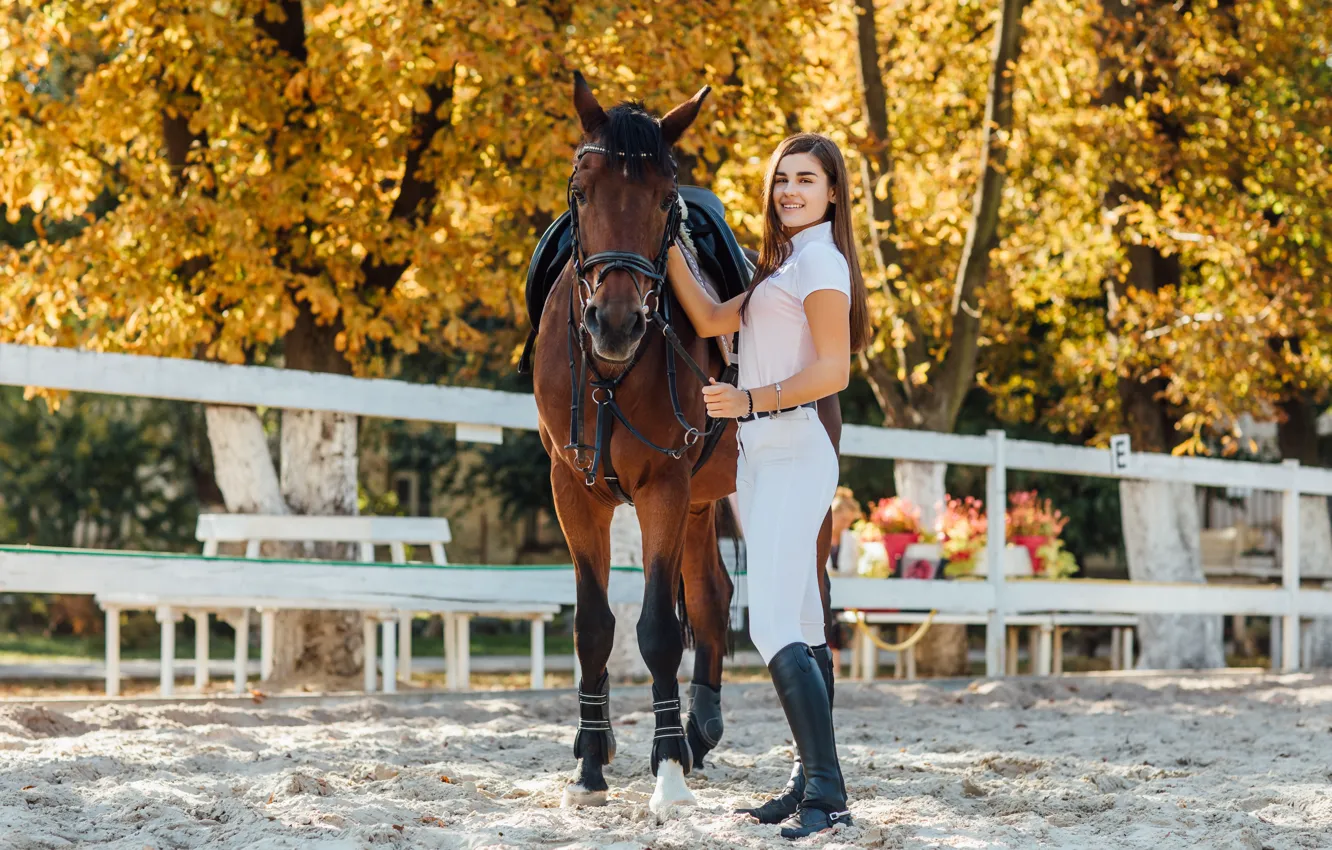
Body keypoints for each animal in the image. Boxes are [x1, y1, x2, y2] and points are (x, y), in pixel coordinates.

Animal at [530, 72, 844, 813]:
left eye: (664, 199)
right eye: (580, 191)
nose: (615, 323)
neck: (609, 374)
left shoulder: (661, 487)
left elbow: (655, 629)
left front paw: (667, 769)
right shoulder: (572, 489)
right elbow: (594, 626)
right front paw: (592, 763)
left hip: (782, 513)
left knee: (803, 618)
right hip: (703, 504)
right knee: (713, 594)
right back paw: (697, 731)